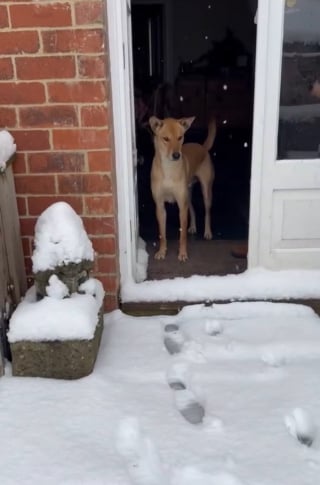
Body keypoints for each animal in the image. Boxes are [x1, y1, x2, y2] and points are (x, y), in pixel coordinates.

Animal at [149, 116, 216, 260]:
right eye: (166, 139)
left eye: (180, 137)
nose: (176, 155)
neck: (168, 168)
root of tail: (202, 147)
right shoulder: (160, 206)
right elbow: (162, 234)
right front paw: (162, 251)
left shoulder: (181, 206)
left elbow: (182, 234)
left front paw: (183, 253)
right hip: (188, 195)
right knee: (193, 209)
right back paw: (193, 227)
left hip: (206, 192)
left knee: (207, 212)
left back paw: (207, 232)